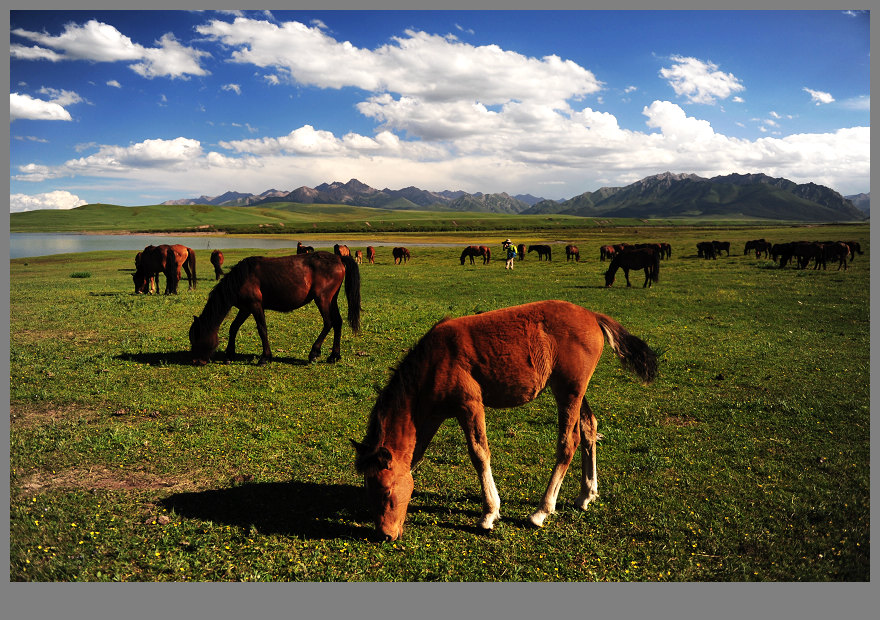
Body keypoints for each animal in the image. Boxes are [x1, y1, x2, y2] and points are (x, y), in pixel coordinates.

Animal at [189, 252, 360, 366]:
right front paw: (229, 355)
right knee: (337, 322)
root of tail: (338, 258)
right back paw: (334, 356)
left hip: (322, 299)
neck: (241, 279)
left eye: (196, 337)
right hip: (331, 299)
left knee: (328, 323)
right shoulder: (245, 309)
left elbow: (262, 329)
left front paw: (265, 358)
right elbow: (234, 328)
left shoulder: (255, 306)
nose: (196, 360)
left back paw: (314, 353)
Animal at [354, 300, 656, 536]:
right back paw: (586, 494)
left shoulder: (470, 405)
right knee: (589, 428)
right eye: (368, 490)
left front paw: (489, 513)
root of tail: (592, 316)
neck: (434, 362)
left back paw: (541, 511)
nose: (385, 534)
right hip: (576, 392)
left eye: (385, 490)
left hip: (568, 392)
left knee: (568, 442)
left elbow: (479, 454)